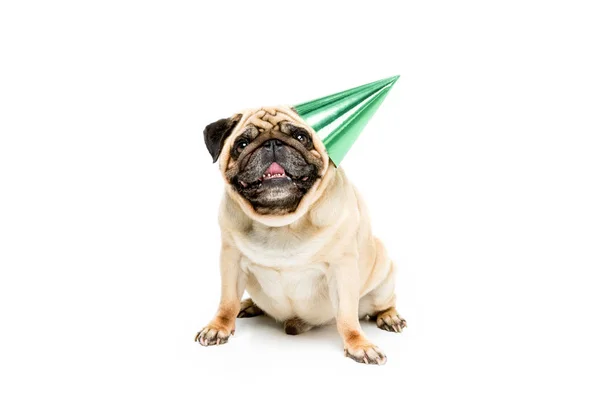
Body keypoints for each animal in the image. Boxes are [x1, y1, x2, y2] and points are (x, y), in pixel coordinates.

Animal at [195, 106, 406, 366]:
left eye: (301, 137)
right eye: (242, 144)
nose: (272, 143)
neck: (281, 222)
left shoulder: (343, 268)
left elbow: (347, 316)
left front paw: (359, 344)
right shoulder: (231, 261)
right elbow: (226, 303)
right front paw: (218, 327)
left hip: (383, 277)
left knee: (385, 302)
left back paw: (389, 317)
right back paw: (249, 305)